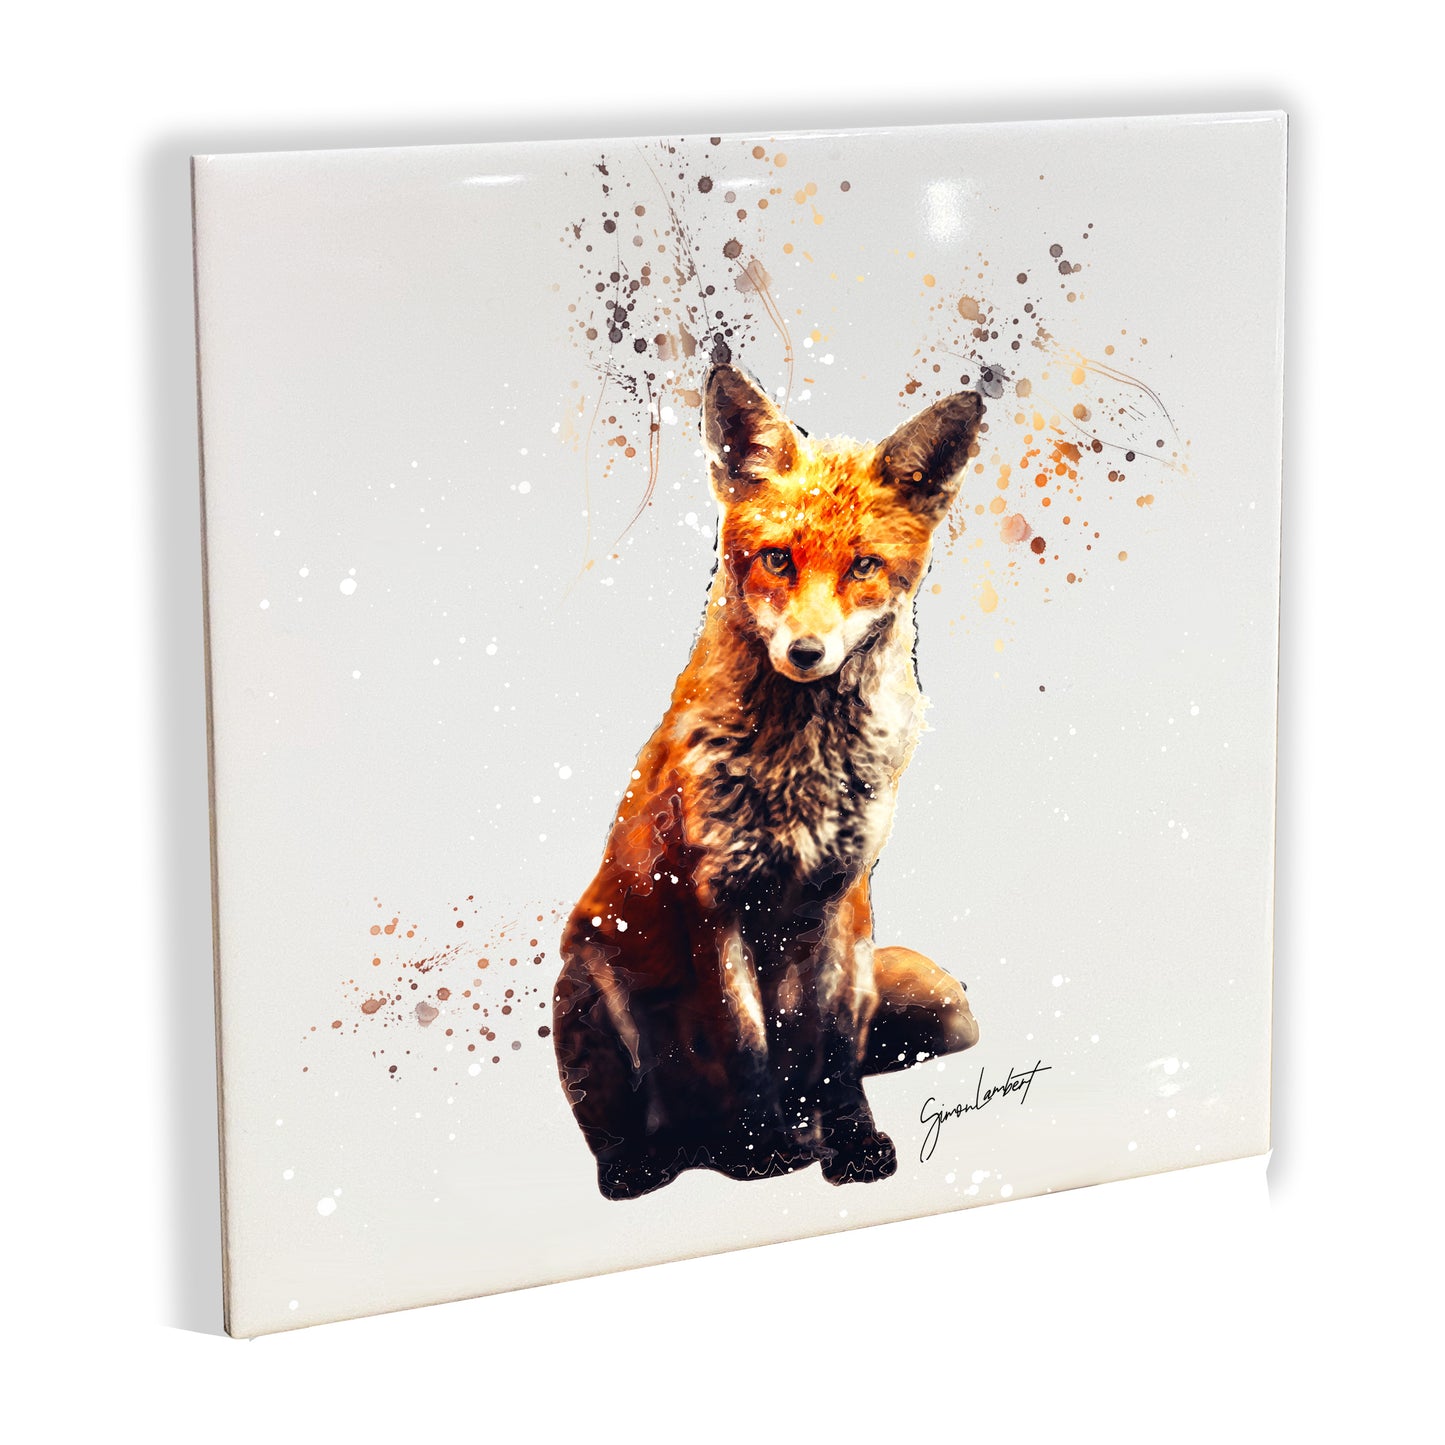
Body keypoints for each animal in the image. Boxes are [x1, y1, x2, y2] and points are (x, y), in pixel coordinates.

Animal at [553, 363, 983, 1200]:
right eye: (778, 558)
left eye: (862, 565)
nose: (806, 652)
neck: (802, 769)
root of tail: (693, 1139)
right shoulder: (710, 898)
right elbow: (746, 1038)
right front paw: (761, 1150)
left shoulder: (845, 899)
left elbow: (837, 1049)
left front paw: (850, 1141)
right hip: (583, 977)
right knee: (618, 1132)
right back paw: (657, 1158)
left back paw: (802, 1131)